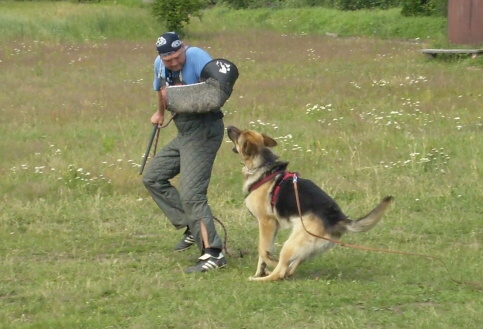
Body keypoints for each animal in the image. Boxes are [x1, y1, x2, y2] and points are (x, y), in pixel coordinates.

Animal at [227, 125, 394, 282]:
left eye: (239, 134)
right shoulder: (272, 226)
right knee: (290, 268)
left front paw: (264, 267)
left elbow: (262, 249)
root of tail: (337, 219)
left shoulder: (266, 222)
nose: (228, 126)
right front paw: (261, 269)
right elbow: (265, 251)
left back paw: (260, 278)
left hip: (290, 244)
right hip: (305, 246)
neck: (263, 165)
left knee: (280, 272)